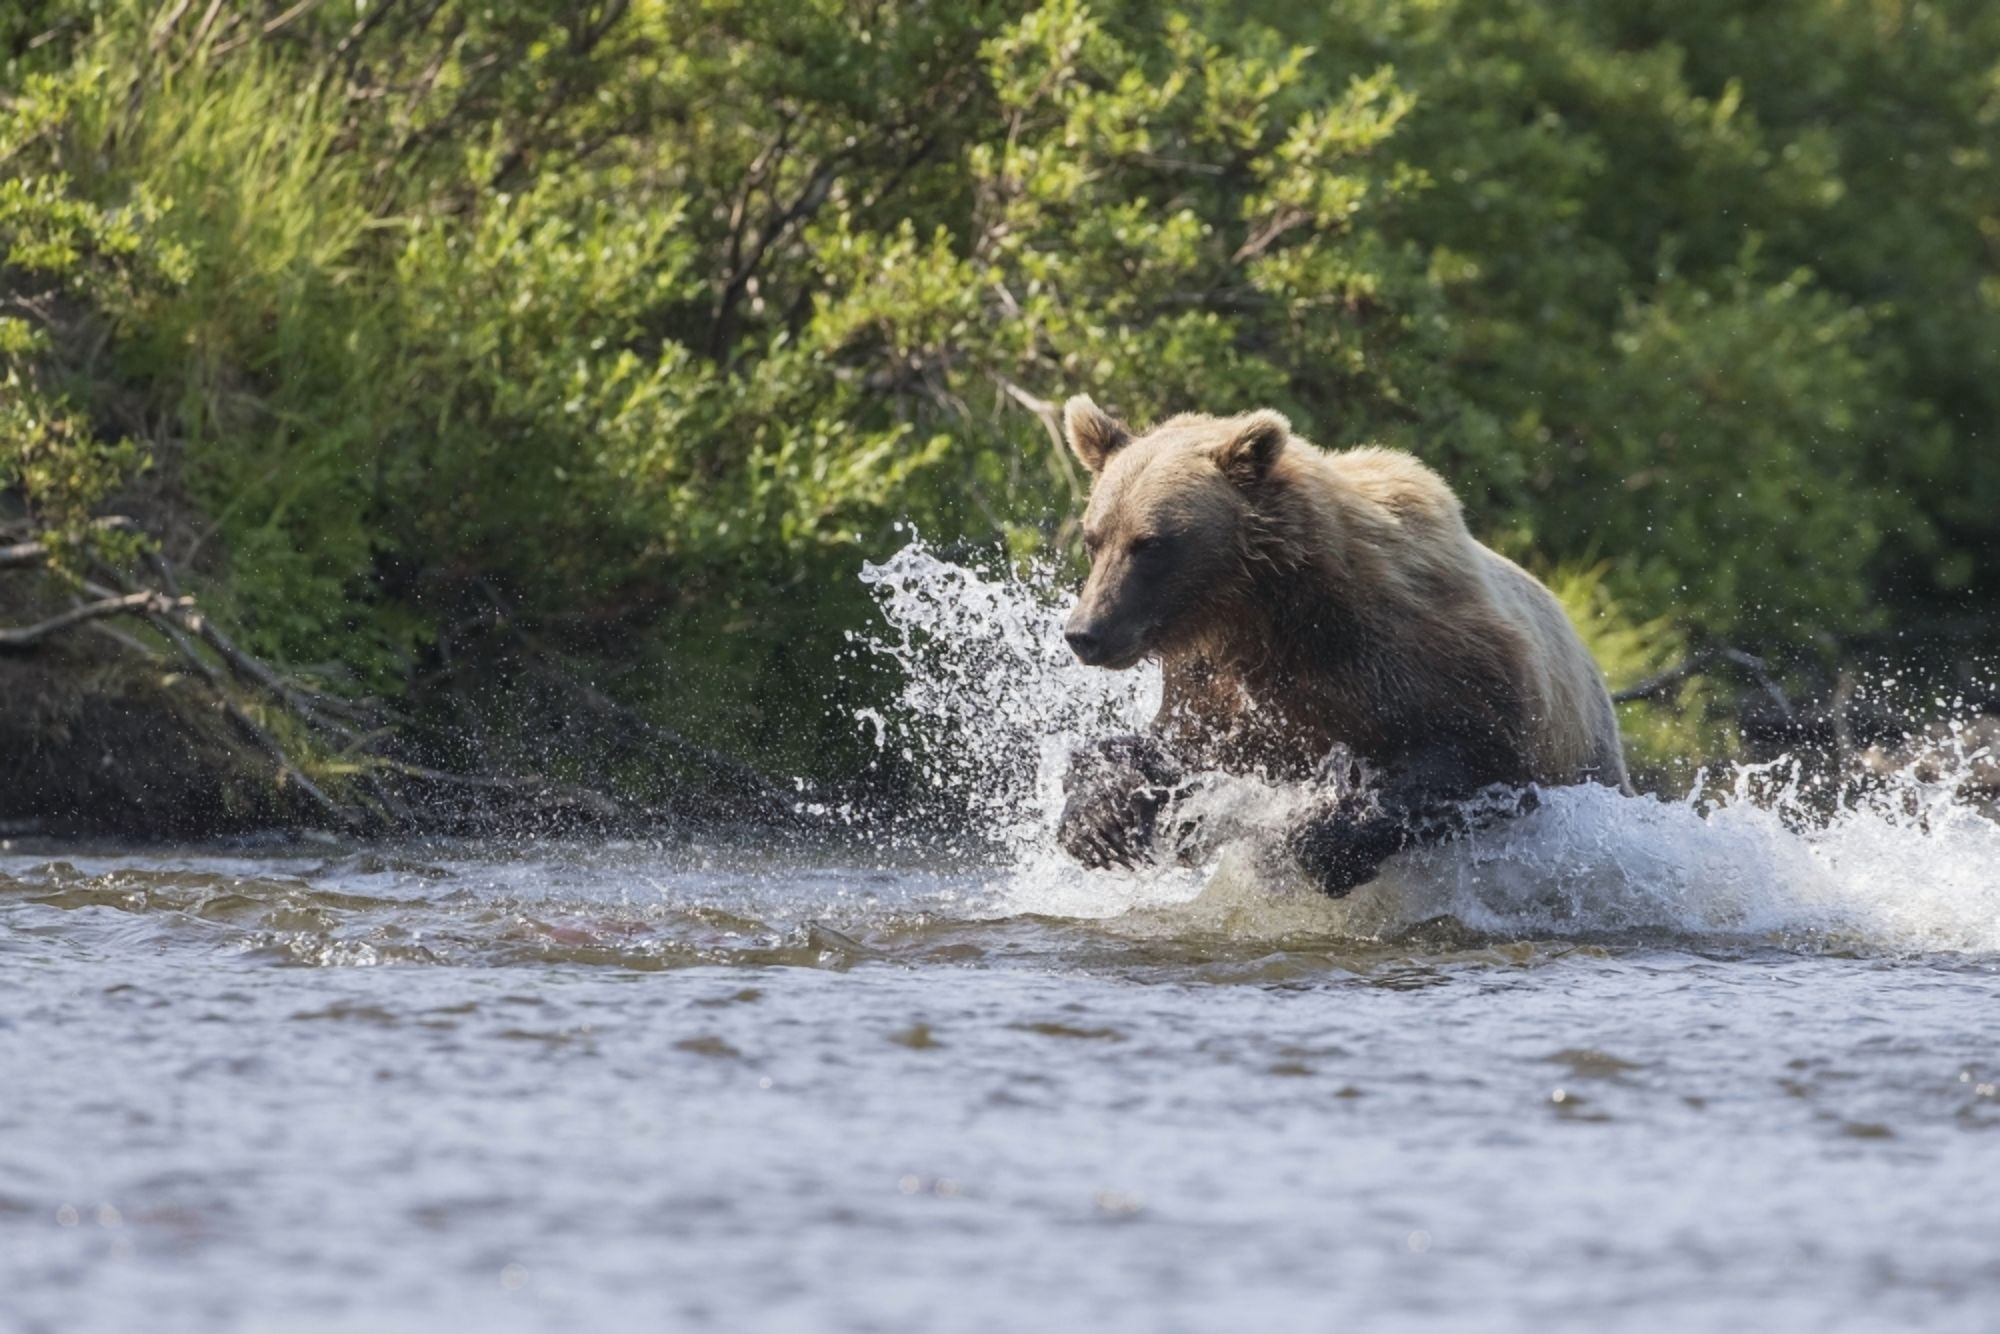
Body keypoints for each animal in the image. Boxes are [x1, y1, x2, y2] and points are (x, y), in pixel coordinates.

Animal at [1054, 395, 1629, 895]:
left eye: (1150, 545)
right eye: (1095, 537)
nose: (1085, 632)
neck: (1265, 609)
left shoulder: (1436, 659)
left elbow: (1466, 760)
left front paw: (1323, 840)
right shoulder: (1218, 687)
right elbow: (1172, 749)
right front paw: (1100, 820)